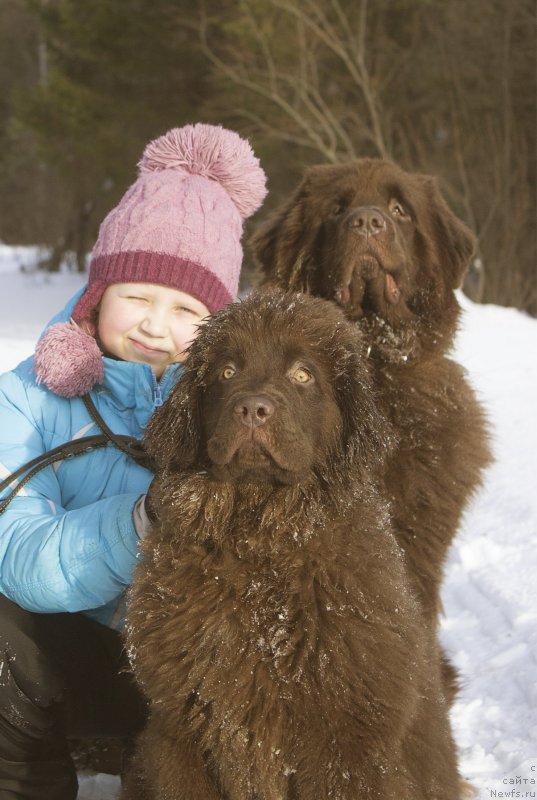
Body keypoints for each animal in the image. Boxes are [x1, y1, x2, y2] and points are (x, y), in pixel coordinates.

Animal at [121, 290, 460, 796]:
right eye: (227, 371)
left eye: (303, 375)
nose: (252, 409)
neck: (260, 547)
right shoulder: (179, 732)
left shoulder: (346, 750)